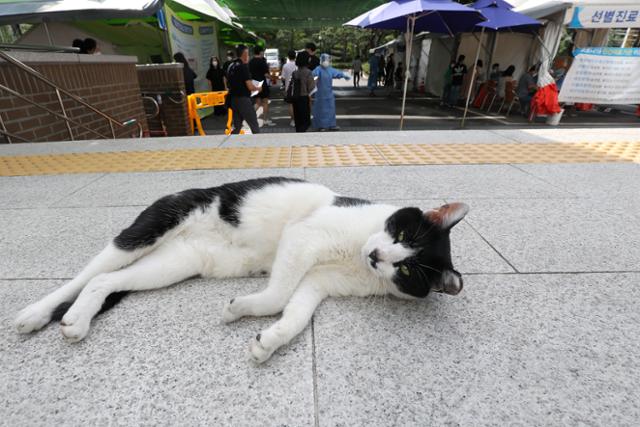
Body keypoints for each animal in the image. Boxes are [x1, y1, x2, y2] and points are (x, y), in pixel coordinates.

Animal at [13, 177, 464, 364]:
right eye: (400, 231)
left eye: (407, 271)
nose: (377, 256)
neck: (353, 256)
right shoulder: (302, 237)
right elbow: (279, 294)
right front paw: (239, 309)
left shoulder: (317, 283)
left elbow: (295, 312)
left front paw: (269, 340)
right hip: (146, 231)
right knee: (86, 275)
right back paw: (35, 314)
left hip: (174, 264)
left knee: (105, 282)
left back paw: (77, 320)